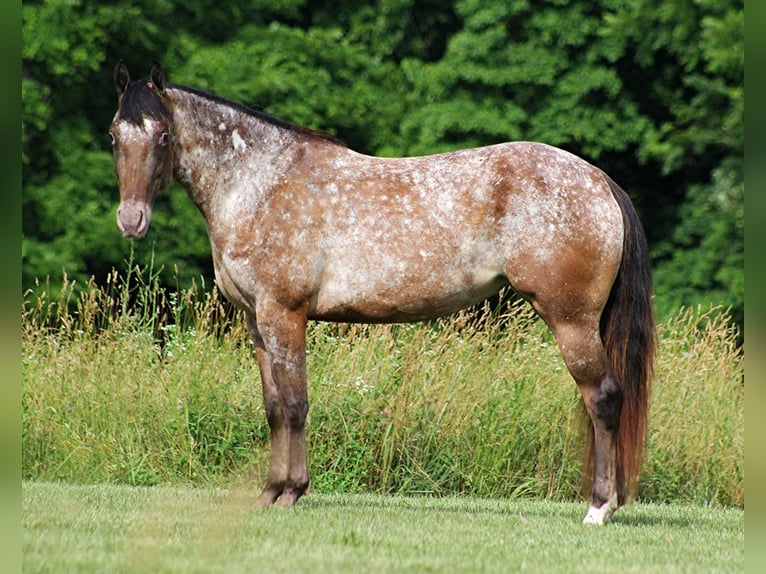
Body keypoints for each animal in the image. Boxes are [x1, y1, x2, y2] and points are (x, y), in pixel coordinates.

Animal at [111, 62, 656, 528]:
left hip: (571, 320)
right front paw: (269, 493)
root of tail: (598, 180)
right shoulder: (257, 323)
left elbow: (295, 404)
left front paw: (292, 493)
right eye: (115, 136)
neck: (261, 184)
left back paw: (599, 508)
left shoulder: (284, 315)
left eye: (163, 135)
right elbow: (273, 408)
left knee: (603, 398)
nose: (131, 220)